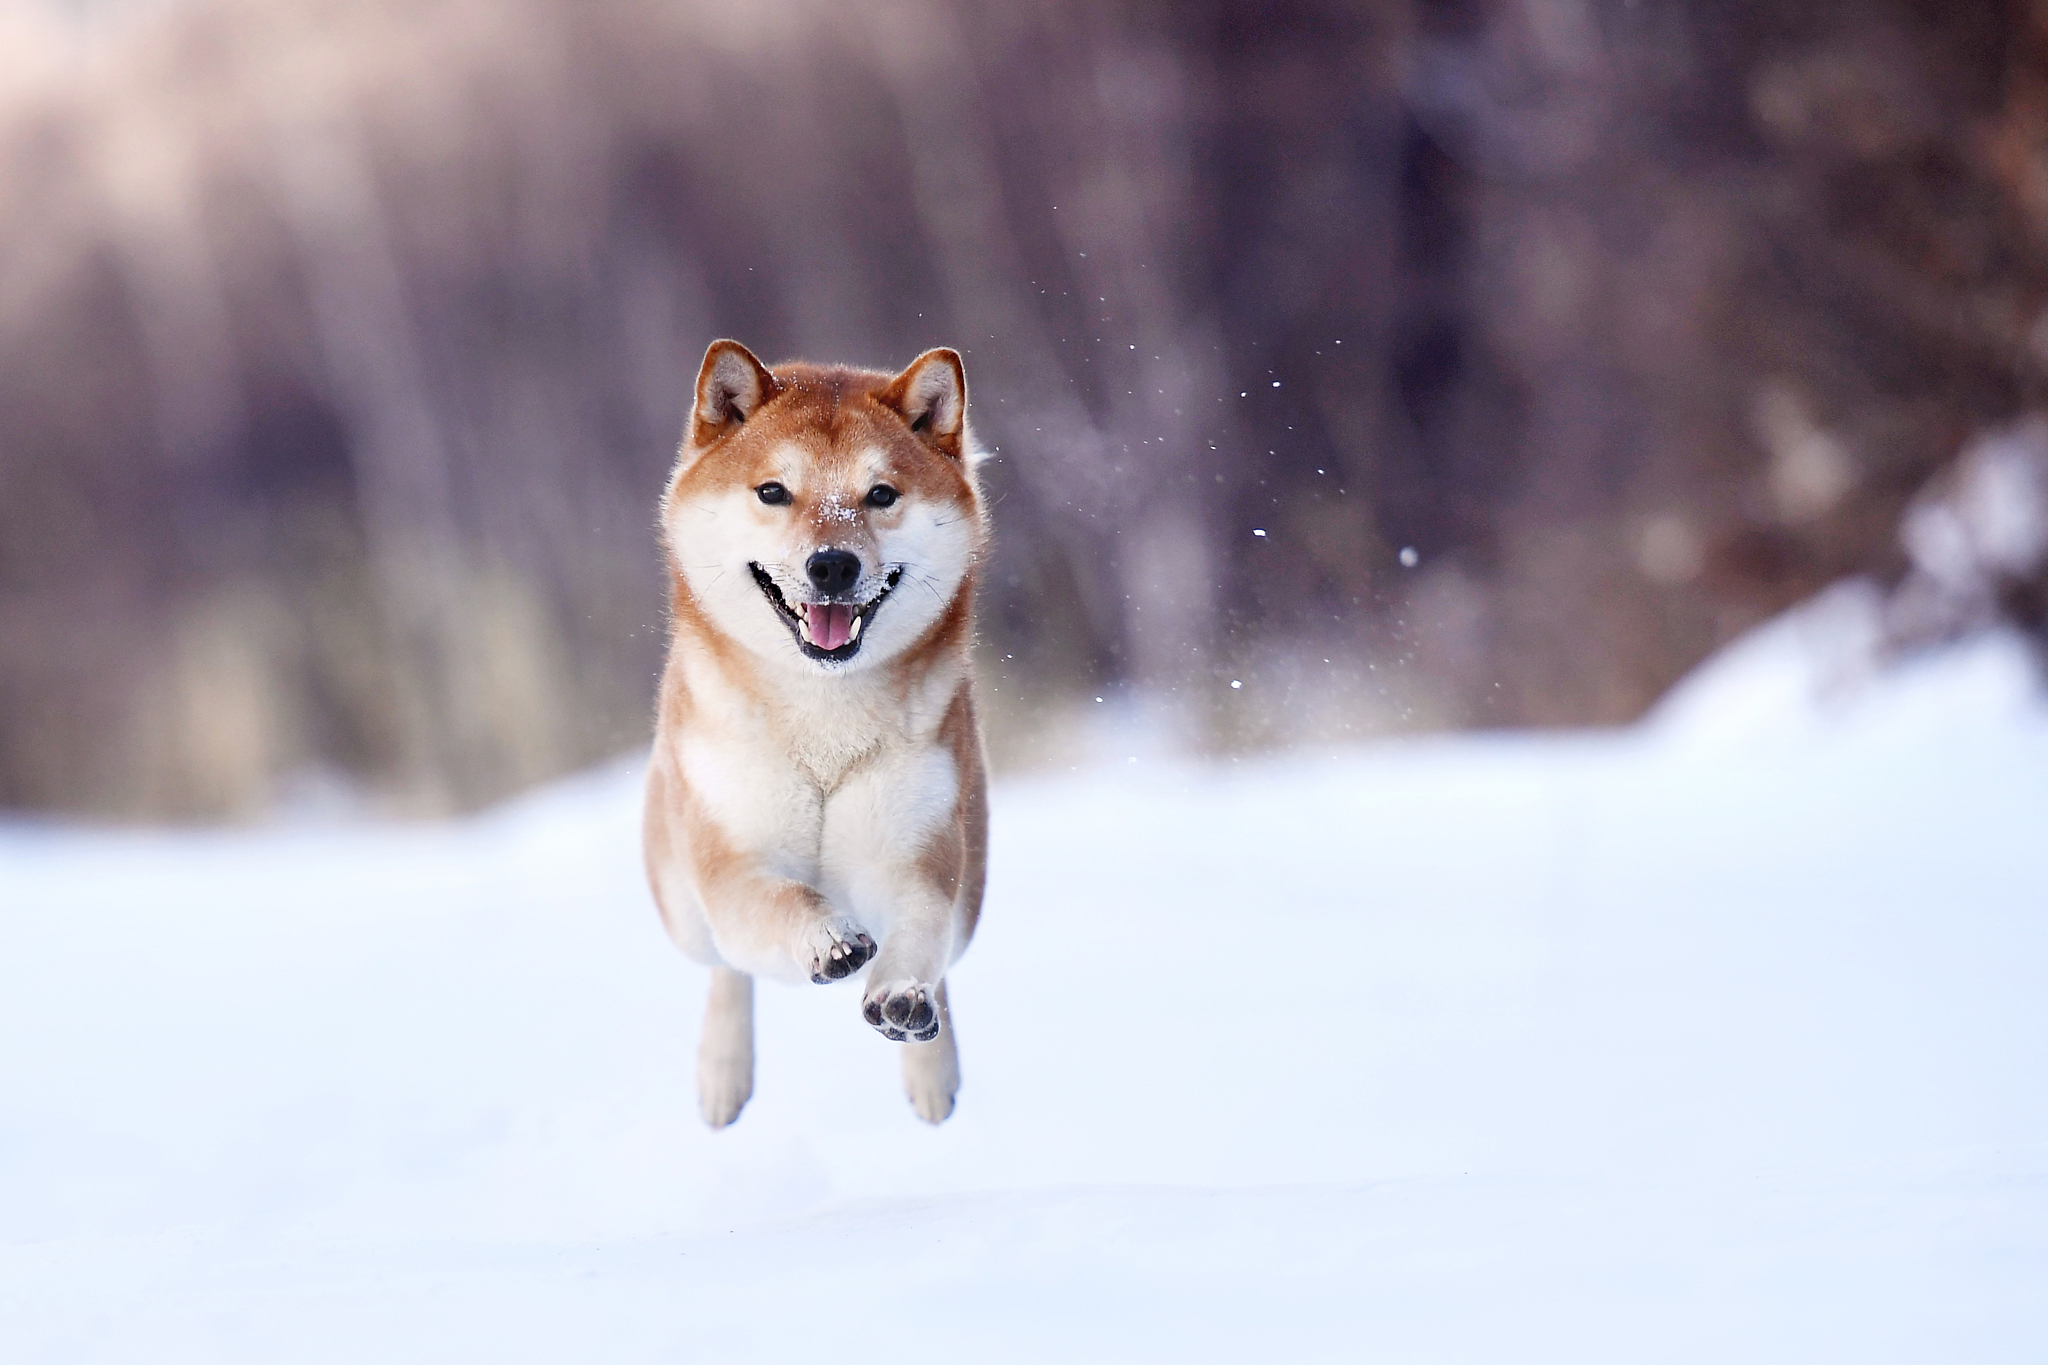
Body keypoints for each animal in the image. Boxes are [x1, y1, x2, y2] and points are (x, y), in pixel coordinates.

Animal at [643, 343, 987, 1129]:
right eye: (774, 491)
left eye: (881, 494)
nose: (832, 564)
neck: (823, 721)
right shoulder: (730, 860)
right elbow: (778, 903)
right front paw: (828, 940)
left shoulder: (920, 854)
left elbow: (919, 931)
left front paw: (901, 994)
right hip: (680, 902)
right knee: (725, 969)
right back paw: (723, 1071)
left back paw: (932, 1059)